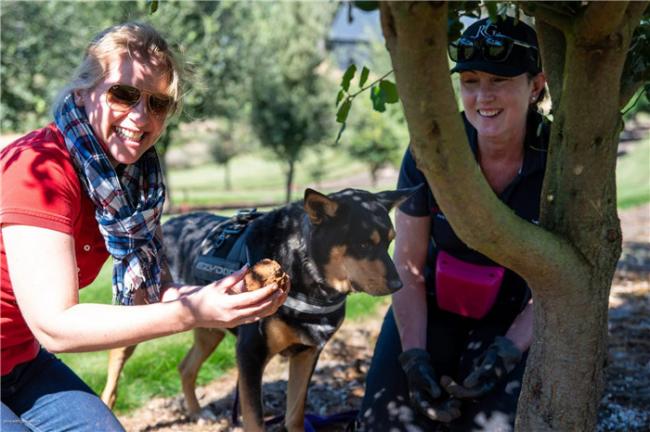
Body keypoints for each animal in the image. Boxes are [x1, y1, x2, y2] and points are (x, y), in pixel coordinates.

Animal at [102, 187, 410, 430]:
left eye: (390, 240)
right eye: (362, 244)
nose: (398, 285)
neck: (305, 271)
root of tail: (165, 227)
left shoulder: (308, 352)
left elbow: (295, 414)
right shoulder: (250, 354)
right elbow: (255, 419)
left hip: (208, 326)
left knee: (185, 367)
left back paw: (198, 413)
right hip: (141, 314)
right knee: (117, 359)